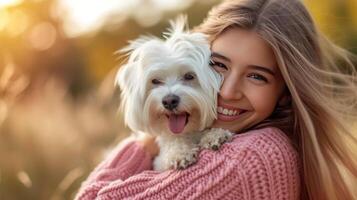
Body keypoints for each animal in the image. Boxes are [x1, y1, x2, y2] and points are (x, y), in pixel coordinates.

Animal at [117, 16, 232, 171]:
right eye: (155, 81)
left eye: (189, 76)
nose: (169, 101)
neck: (189, 132)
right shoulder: (159, 161)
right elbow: (173, 142)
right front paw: (179, 153)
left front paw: (214, 135)